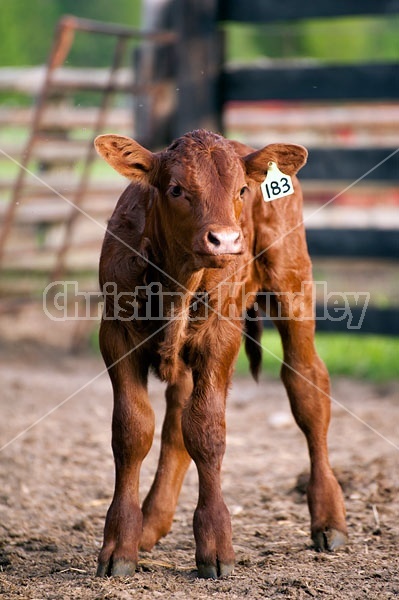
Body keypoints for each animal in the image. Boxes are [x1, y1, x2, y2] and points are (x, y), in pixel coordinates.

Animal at [94, 129, 346, 580]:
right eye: (176, 189)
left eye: (241, 190)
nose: (226, 241)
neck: (178, 280)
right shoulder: (116, 335)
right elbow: (132, 431)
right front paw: (120, 544)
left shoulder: (220, 337)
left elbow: (207, 431)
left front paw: (215, 545)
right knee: (176, 419)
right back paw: (150, 525)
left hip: (294, 285)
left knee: (307, 387)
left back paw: (329, 520)